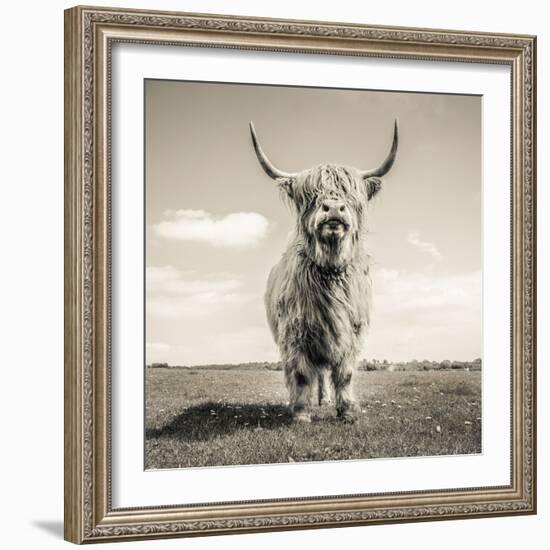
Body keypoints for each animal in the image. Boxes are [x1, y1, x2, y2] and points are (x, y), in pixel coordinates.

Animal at [251, 119, 402, 422]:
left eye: (351, 194)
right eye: (309, 196)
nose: (333, 208)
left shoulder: (351, 333)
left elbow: (344, 374)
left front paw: (347, 411)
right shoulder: (295, 334)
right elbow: (300, 374)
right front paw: (300, 413)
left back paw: (325, 399)